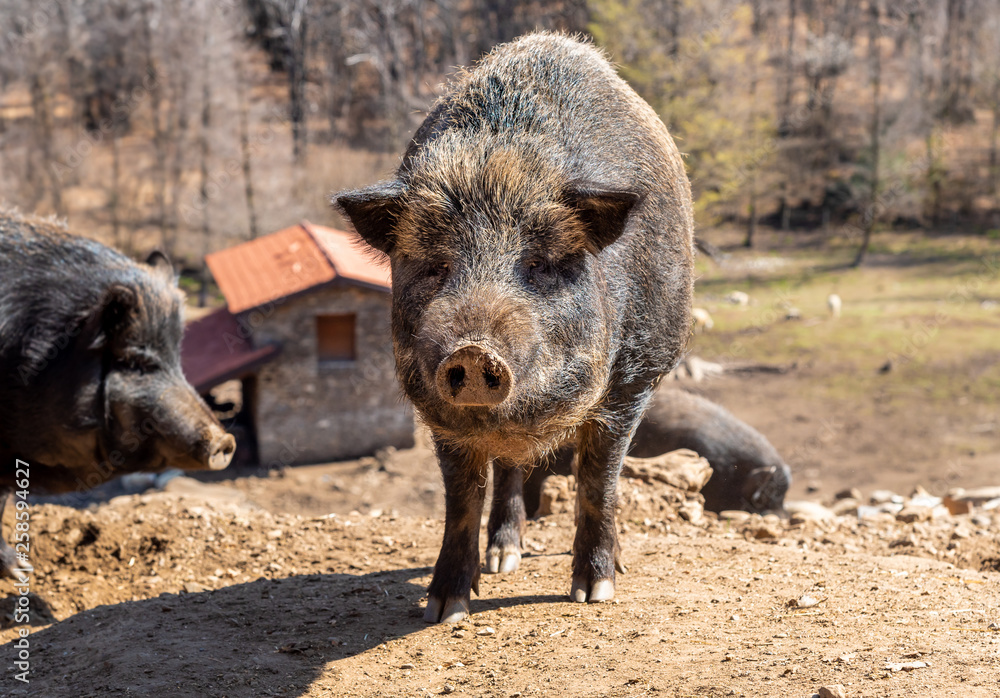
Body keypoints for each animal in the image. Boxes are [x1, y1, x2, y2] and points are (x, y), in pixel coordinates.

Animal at [335, 33, 694, 623]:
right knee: (507, 470)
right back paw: (503, 560)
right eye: (435, 265)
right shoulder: (440, 417)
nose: (473, 350)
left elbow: (598, 480)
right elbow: (461, 497)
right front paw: (444, 608)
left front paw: (594, 592)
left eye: (541, 264)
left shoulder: (632, 381)